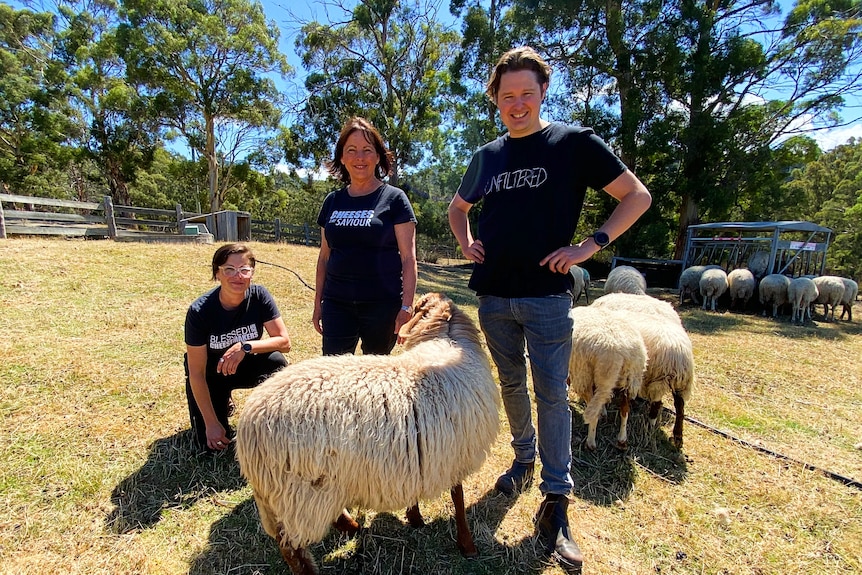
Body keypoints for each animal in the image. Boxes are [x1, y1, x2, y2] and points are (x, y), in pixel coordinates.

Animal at [236, 294, 502, 572]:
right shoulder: (455, 454)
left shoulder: (420, 454)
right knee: (292, 548)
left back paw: (352, 526)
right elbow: (458, 497)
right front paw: (467, 544)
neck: (448, 341)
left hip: (291, 493)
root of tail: (249, 425)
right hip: (302, 491)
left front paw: (415, 517)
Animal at [568, 306, 648, 450]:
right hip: (629, 379)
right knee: (624, 410)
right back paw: (622, 440)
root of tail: (621, 352)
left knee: (593, 411)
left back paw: (590, 443)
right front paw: (604, 412)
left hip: (591, 376)